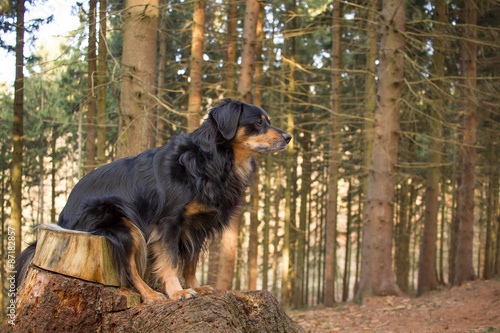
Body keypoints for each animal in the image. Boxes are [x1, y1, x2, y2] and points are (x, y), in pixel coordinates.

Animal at [15, 98, 292, 304]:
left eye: (268, 121)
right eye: (258, 122)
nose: (288, 136)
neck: (211, 160)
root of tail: (62, 220)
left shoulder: (197, 226)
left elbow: (191, 262)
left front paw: (196, 286)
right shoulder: (168, 223)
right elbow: (169, 260)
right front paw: (178, 291)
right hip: (123, 225)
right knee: (129, 268)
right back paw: (150, 295)